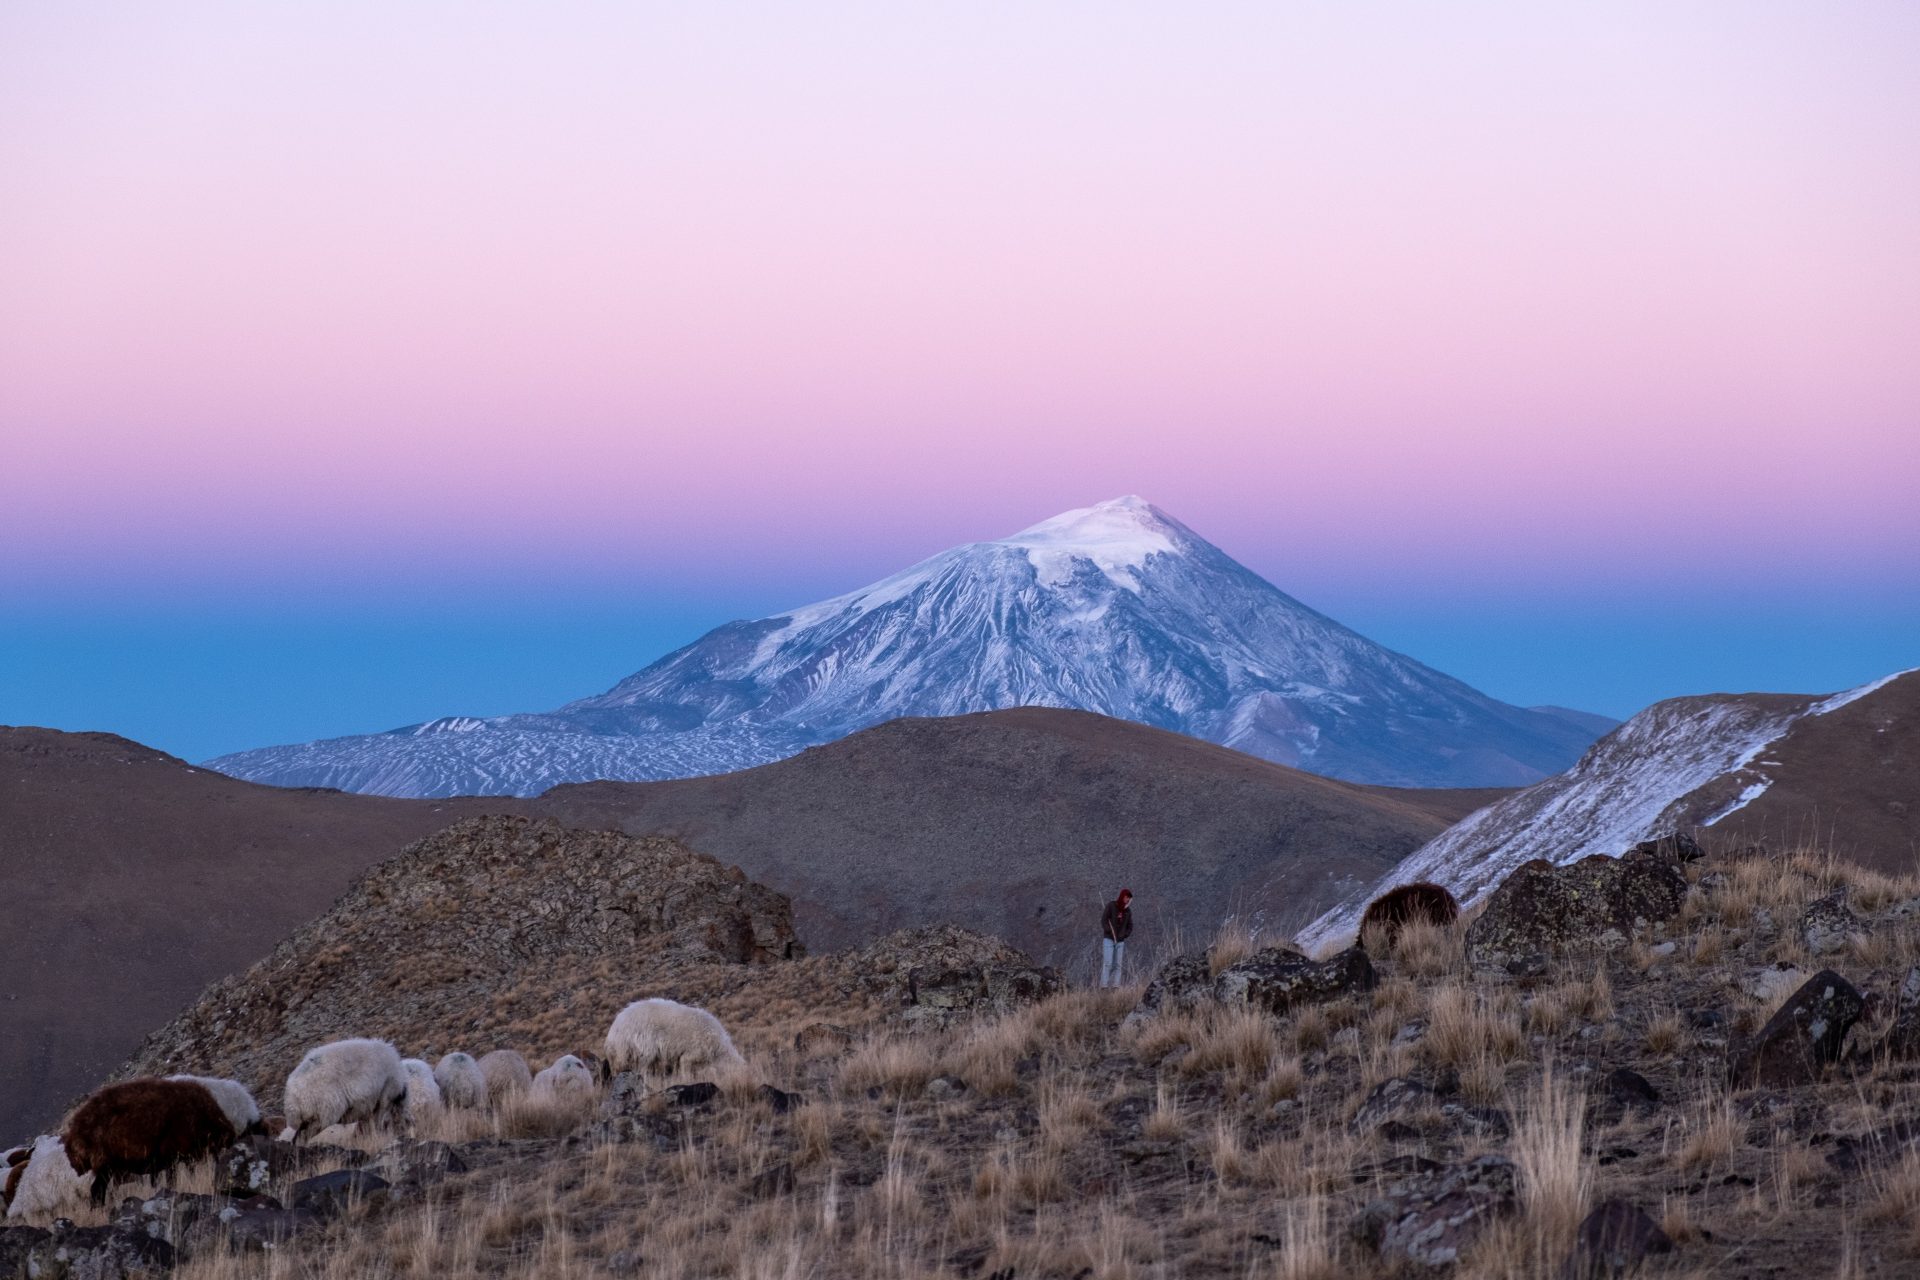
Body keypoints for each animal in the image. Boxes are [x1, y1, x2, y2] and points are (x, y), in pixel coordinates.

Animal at [60, 1074, 239, 1205]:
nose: (231, 1139)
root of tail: (74, 1132)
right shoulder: (171, 1158)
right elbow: (172, 1182)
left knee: (98, 1190)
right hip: (105, 1165)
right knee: (97, 1190)